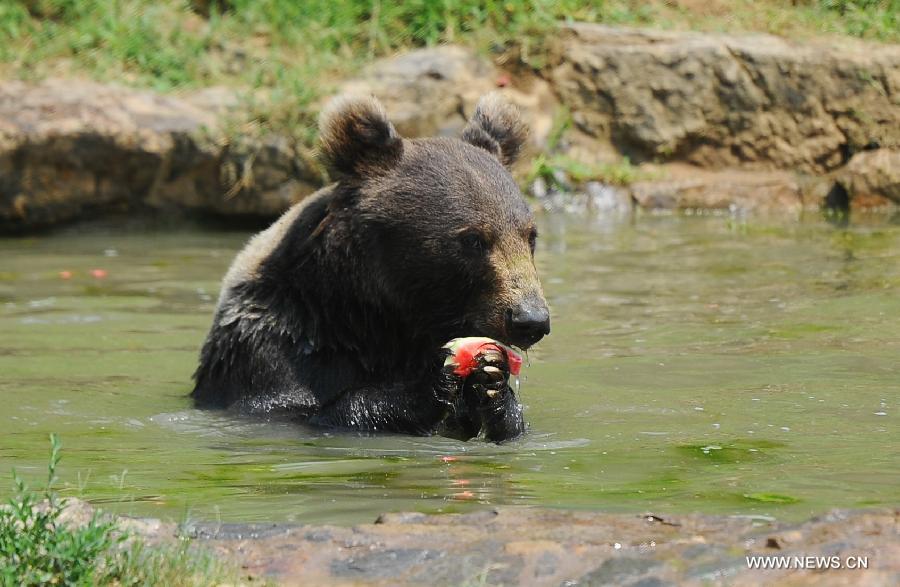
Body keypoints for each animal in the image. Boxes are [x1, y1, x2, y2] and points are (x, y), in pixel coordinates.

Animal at [192, 93, 548, 440]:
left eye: (530, 235)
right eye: (474, 239)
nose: (530, 319)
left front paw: (493, 381)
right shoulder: (277, 348)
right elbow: (298, 409)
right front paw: (432, 379)